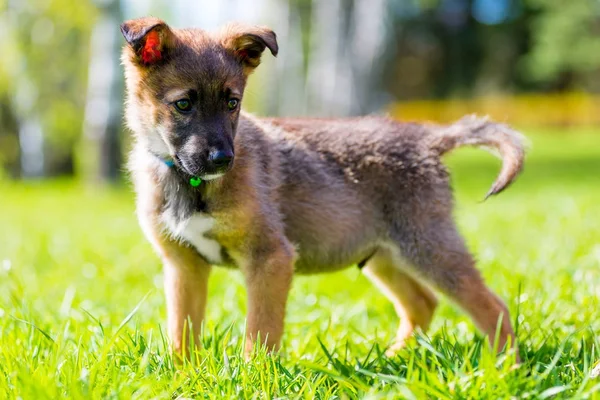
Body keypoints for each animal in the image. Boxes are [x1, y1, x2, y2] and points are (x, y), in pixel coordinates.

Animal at [119, 16, 524, 360]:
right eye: (183, 104)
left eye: (232, 103)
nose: (223, 160)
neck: (188, 182)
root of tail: (429, 138)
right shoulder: (183, 266)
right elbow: (181, 334)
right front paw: (183, 376)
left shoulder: (270, 257)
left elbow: (260, 335)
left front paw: (254, 378)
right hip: (381, 253)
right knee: (422, 303)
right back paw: (394, 360)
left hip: (427, 244)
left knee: (493, 307)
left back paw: (506, 369)